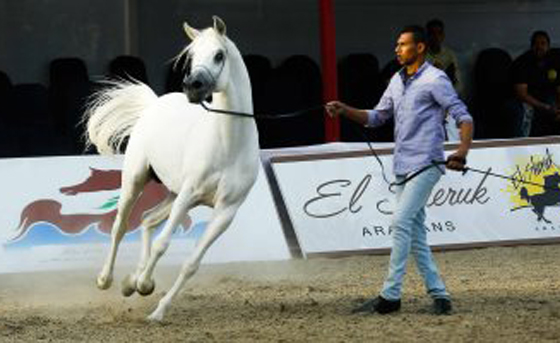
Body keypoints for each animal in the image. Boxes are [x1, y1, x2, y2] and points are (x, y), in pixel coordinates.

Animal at [86, 16, 260, 322]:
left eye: (219, 55)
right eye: (192, 57)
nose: (193, 86)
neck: (229, 145)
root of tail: (155, 103)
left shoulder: (225, 212)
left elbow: (191, 264)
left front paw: (155, 307)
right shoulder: (189, 194)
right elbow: (162, 244)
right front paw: (143, 284)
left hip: (172, 194)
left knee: (146, 220)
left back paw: (132, 280)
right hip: (137, 179)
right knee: (120, 226)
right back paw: (107, 279)